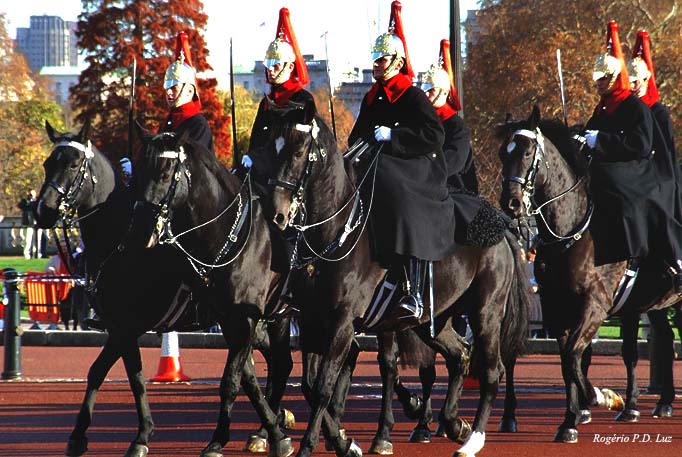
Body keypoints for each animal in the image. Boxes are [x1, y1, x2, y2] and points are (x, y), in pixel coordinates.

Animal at [34, 121, 294, 457]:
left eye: (73, 164)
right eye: (47, 164)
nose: (43, 210)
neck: (120, 241)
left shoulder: (127, 326)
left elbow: (118, 374)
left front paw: (135, 436)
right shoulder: (121, 327)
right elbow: (113, 374)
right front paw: (103, 434)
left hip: (270, 319)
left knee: (277, 365)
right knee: (268, 367)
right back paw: (272, 424)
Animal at [262, 99, 532, 457]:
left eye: (297, 151)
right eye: (271, 147)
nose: (276, 214)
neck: (335, 232)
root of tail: (502, 227)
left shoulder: (342, 323)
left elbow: (322, 388)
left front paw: (311, 445)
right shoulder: (310, 321)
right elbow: (309, 385)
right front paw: (344, 441)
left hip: (485, 313)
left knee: (491, 370)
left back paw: (472, 438)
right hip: (435, 319)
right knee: (459, 355)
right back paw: (453, 423)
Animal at [497, 105, 682, 443]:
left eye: (528, 151)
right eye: (504, 153)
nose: (511, 203)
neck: (572, 231)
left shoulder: (594, 306)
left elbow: (573, 356)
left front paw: (599, 397)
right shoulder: (557, 308)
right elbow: (568, 361)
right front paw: (571, 420)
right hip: (653, 304)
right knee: (659, 340)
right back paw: (657, 403)